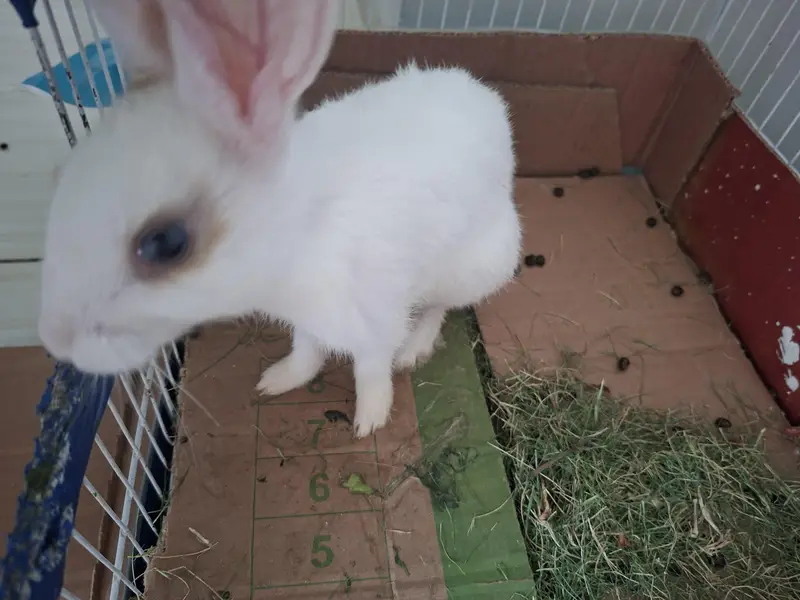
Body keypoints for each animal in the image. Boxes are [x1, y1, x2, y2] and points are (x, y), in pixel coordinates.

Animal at [37, 0, 521, 438]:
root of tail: (489, 100)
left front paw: (369, 420)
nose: (56, 341)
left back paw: (414, 350)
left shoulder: (373, 320)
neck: (301, 231)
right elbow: (306, 351)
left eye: (165, 243)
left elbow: (371, 369)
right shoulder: (306, 321)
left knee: (439, 308)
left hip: (470, 268)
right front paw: (278, 381)